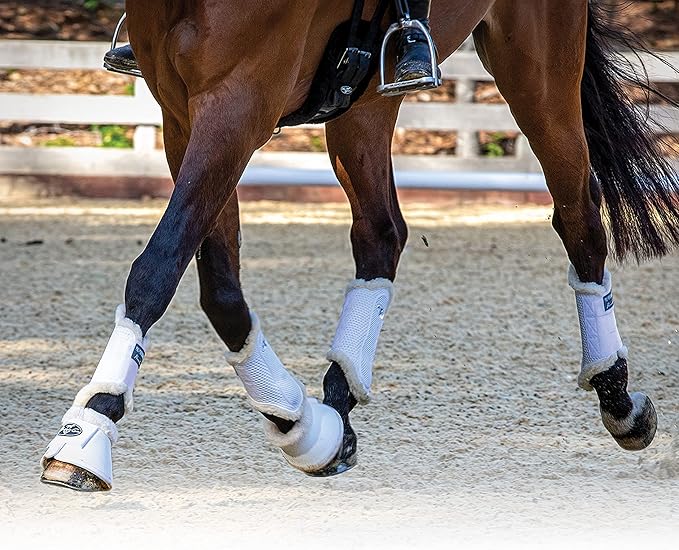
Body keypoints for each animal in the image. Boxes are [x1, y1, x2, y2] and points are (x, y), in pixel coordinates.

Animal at [40, 0, 679, 491]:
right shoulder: (182, 110)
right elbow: (218, 288)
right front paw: (300, 421)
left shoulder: (237, 102)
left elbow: (158, 268)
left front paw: (87, 430)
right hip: (367, 94)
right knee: (380, 235)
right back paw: (335, 411)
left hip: (537, 69)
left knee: (579, 217)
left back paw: (618, 398)